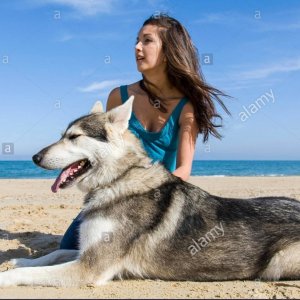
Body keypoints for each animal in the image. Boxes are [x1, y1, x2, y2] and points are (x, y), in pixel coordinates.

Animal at [0, 97, 300, 288]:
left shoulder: (89, 267)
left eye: (74, 137)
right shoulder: (86, 252)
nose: (35, 157)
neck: (117, 180)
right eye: (62, 135)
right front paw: (18, 259)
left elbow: (35, 271)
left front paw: (6, 276)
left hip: (278, 263)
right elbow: (52, 255)